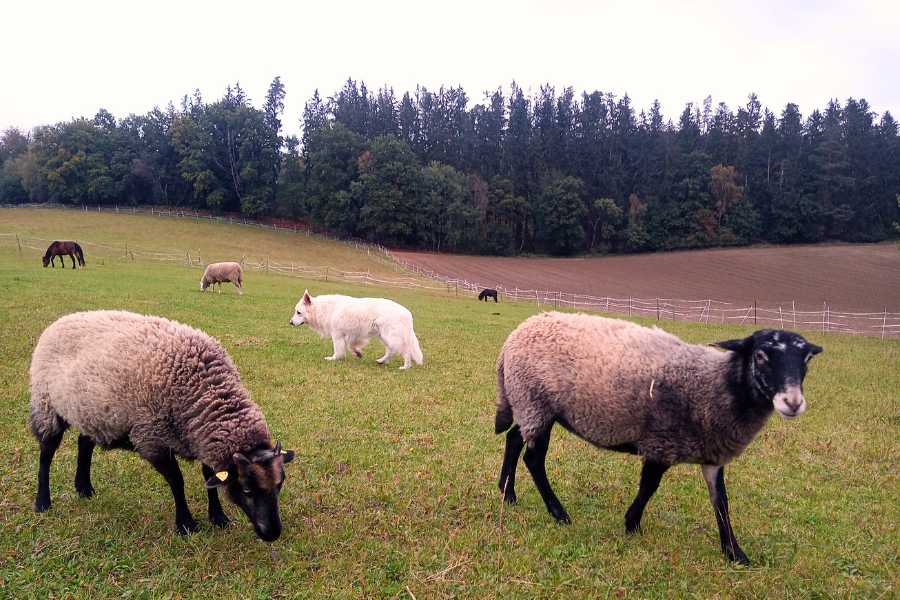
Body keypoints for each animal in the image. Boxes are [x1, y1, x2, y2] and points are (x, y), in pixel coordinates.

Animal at [27, 312, 296, 540]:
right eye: (247, 490)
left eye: (279, 485)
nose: (272, 534)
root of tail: (59, 321)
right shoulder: (152, 440)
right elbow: (177, 481)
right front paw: (186, 524)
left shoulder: (201, 438)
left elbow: (209, 477)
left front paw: (218, 517)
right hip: (46, 405)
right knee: (46, 454)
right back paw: (43, 502)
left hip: (92, 412)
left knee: (84, 443)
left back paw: (84, 488)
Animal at [292, 290, 426, 368]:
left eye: (298, 312)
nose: (290, 323)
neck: (323, 309)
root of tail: (407, 314)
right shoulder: (353, 335)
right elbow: (352, 346)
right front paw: (358, 353)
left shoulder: (337, 335)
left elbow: (338, 350)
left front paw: (334, 358)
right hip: (384, 337)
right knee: (391, 351)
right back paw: (382, 361)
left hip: (390, 337)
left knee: (404, 351)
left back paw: (405, 366)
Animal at [496, 312, 828, 564]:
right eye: (760, 355)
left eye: (806, 360)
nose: (793, 402)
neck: (713, 385)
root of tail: (516, 335)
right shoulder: (661, 442)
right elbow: (649, 487)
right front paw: (631, 524)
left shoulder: (712, 455)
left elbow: (721, 502)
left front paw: (735, 553)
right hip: (536, 402)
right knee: (533, 458)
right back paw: (558, 513)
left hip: (529, 406)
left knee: (513, 439)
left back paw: (507, 493)